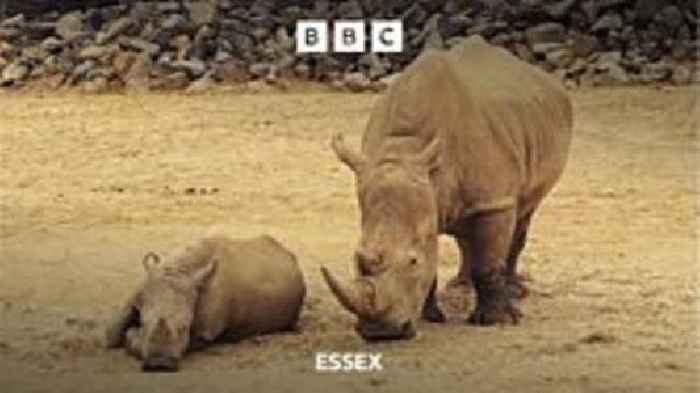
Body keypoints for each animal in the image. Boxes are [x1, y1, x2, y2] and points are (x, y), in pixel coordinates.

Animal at [105, 233, 304, 370]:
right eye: (144, 323)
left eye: (184, 328)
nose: (159, 364)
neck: (179, 270)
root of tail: (289, 255)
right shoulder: (143, 289)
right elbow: (112, 334)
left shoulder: (205, 331)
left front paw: (131, 336)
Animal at [322, 36, 576, 340]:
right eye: (357, 259)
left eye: (412, 261)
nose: (380, 332)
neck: (405, 148)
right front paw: (431, 317)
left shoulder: (494, 200)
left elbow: (488, 262)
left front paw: (496, 321)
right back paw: (460, 286)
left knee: (524, 212)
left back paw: (515, 291)